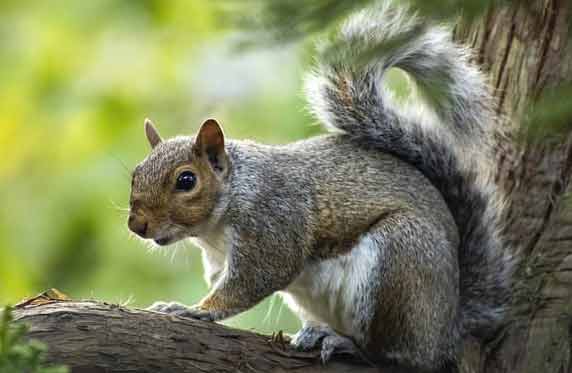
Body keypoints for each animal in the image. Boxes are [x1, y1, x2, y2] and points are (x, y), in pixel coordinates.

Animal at [128, 1, 512, 370]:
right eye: (135, 173)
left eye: (186, 180)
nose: (136, 225)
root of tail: (448, 328)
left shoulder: (273, 223)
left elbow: (252, 281)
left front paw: (195, 309)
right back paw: (319, 332)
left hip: (401, 261)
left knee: (400, 355)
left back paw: (349, 345)